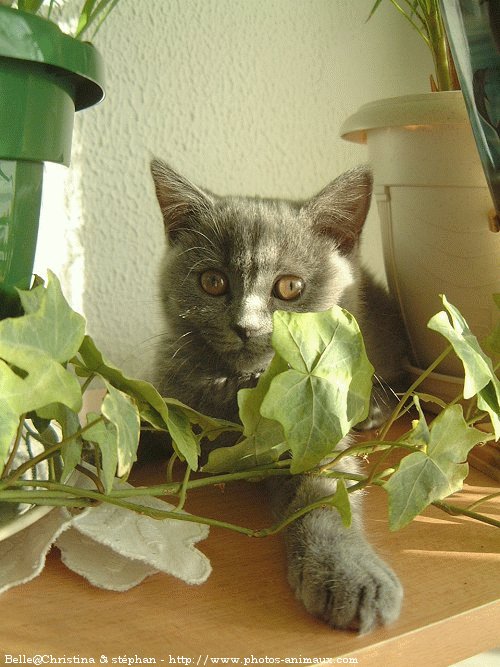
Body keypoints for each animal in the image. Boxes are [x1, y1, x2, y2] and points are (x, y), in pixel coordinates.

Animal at [149, 159, 406, 636]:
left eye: (289, 288)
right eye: (212, 281)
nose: (245, 326)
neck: (242, 388)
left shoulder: (312, 435)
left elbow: (324, 494)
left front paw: (350, 573)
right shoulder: (167, 402)